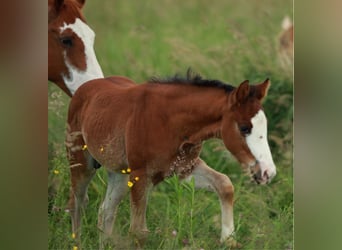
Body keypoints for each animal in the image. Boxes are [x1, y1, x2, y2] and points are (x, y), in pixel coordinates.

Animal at [67, 70, 278, 248]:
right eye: (244, 128)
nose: (267, 172)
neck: (170, 122)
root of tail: (85, 87)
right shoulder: (141, 175)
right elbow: (139, 233)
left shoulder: (185, 169)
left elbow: (225, 184)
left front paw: (228, 239)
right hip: (80, 162)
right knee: (78, 203)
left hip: (119, 174)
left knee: (106, 211)